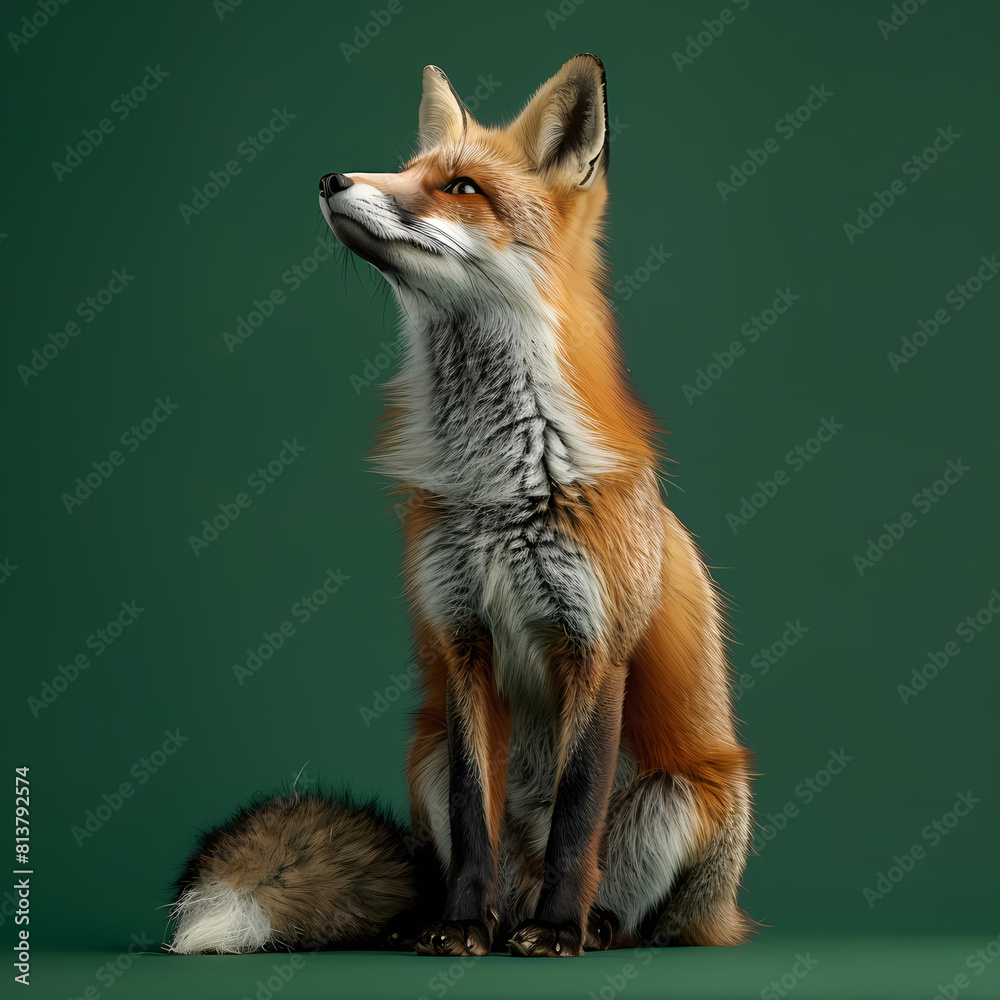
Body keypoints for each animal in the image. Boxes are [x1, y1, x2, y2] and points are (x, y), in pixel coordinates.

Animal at [168, 53, 753, 958]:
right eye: (407, 170)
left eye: (462, 187)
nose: (331, 178)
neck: (502, 486)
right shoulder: (464, 642)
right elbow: (474, 814)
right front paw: (460, 928)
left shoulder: (595, 646)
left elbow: (578, 814)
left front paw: (559, 931)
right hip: (428, 754)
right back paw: (464, 919)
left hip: (680, 797)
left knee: (638, 908)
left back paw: (589, 923)